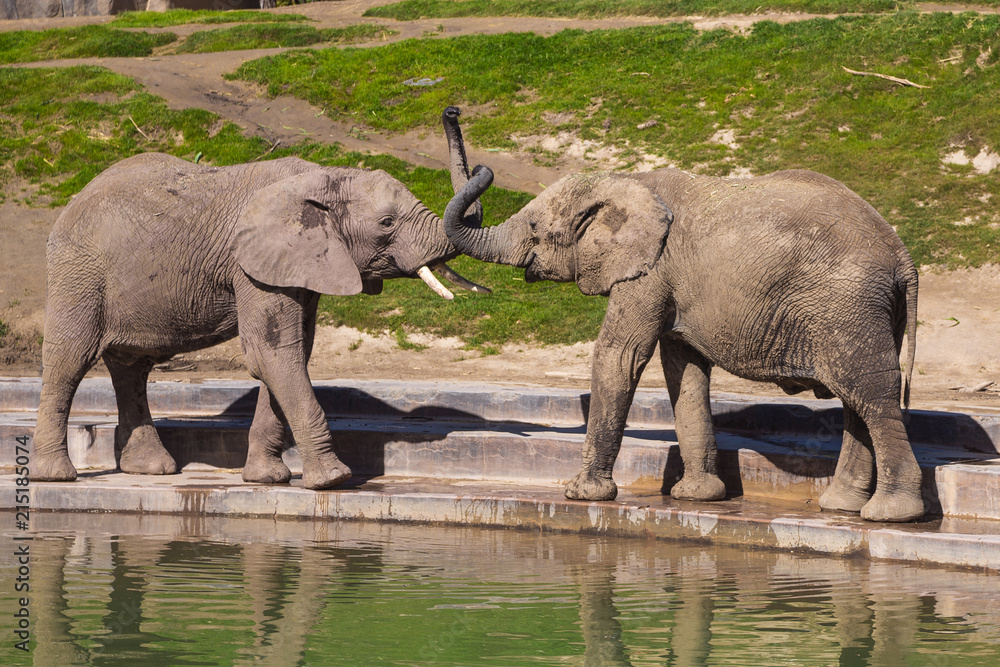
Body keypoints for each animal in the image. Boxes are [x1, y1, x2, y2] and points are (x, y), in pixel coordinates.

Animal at [33, 144, 487, 490]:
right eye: (387, 223)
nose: (453, 113)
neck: (320, 177)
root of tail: (73, 199)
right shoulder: (251, 264)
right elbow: (273, 354)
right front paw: (334, 480)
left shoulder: (299, 263)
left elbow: (290, 353)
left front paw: (268, 479)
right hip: (78, 271)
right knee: (70, 359)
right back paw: (55, 476)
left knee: (132, 367)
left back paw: (151, 470)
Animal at [444, 142, 921, 522]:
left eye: (537, 230)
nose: (454, 113)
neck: (627, 182)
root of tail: (903, 256)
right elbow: (683, 369)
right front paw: (697, 497)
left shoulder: (649, 272)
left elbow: (620, 355)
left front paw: (581, 494)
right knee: (856, 399)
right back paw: (841, 507)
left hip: (848, 305)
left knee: (870, 394)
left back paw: (889, 514)